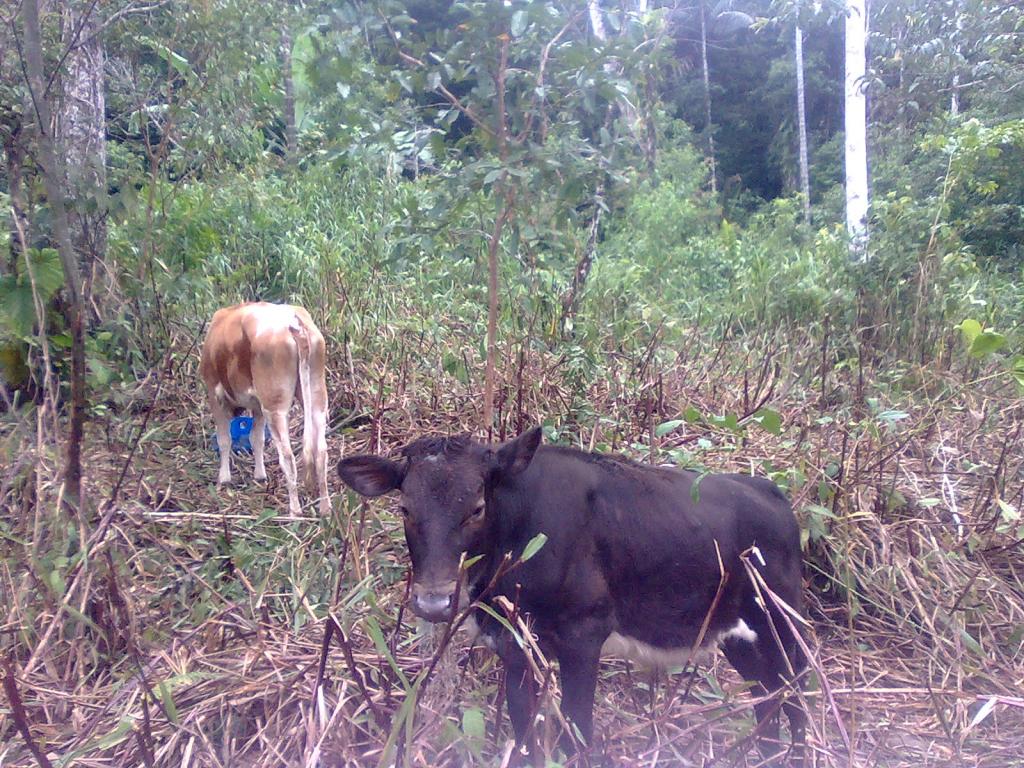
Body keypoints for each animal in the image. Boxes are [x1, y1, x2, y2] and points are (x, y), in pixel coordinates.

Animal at [197, 303, 329, 518]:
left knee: (288, 456)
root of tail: (293, 319)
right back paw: (325, 508)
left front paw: (224, 479)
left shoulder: (214, 393)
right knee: (321, 451)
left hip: (275, 407)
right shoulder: (257, 405)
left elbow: (224, 440)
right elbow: (256, 438)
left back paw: (295, 512)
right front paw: (260, 476)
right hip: (317, 396)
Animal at [342, 428, 806, 765]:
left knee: (796, 696)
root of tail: (771, 491)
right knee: (767, 698)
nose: (434, 602)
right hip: (737, 634)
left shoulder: (584, 634)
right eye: (404, 509)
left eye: (476, 507)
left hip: (781, 622)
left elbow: (577, 729)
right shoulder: (513, 641)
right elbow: (524, 728)